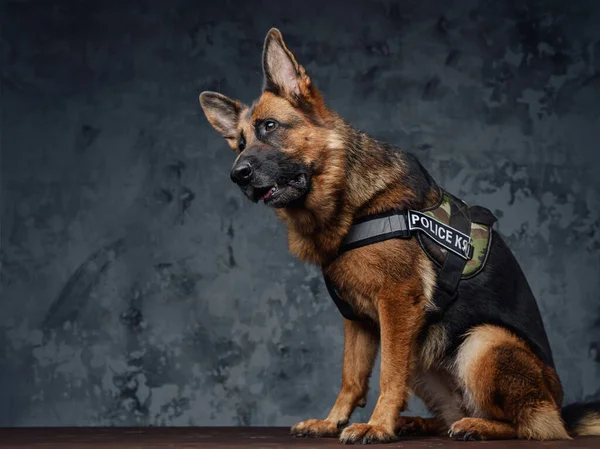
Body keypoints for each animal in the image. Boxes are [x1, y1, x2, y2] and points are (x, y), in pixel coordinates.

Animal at [198, 28, 600, 444]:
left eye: (270, 127)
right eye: (239, 144)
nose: (238, 174)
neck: (351, 201)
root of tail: (558, 405)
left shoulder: (397, 304)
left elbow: (389, 374)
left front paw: (377, 425)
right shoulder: (357, 319)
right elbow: (352, 377)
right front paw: (332, 421)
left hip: (483, 341)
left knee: (534, 426)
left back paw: (478, 426)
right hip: (425, 354)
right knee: (452, 413)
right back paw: (421, 422)